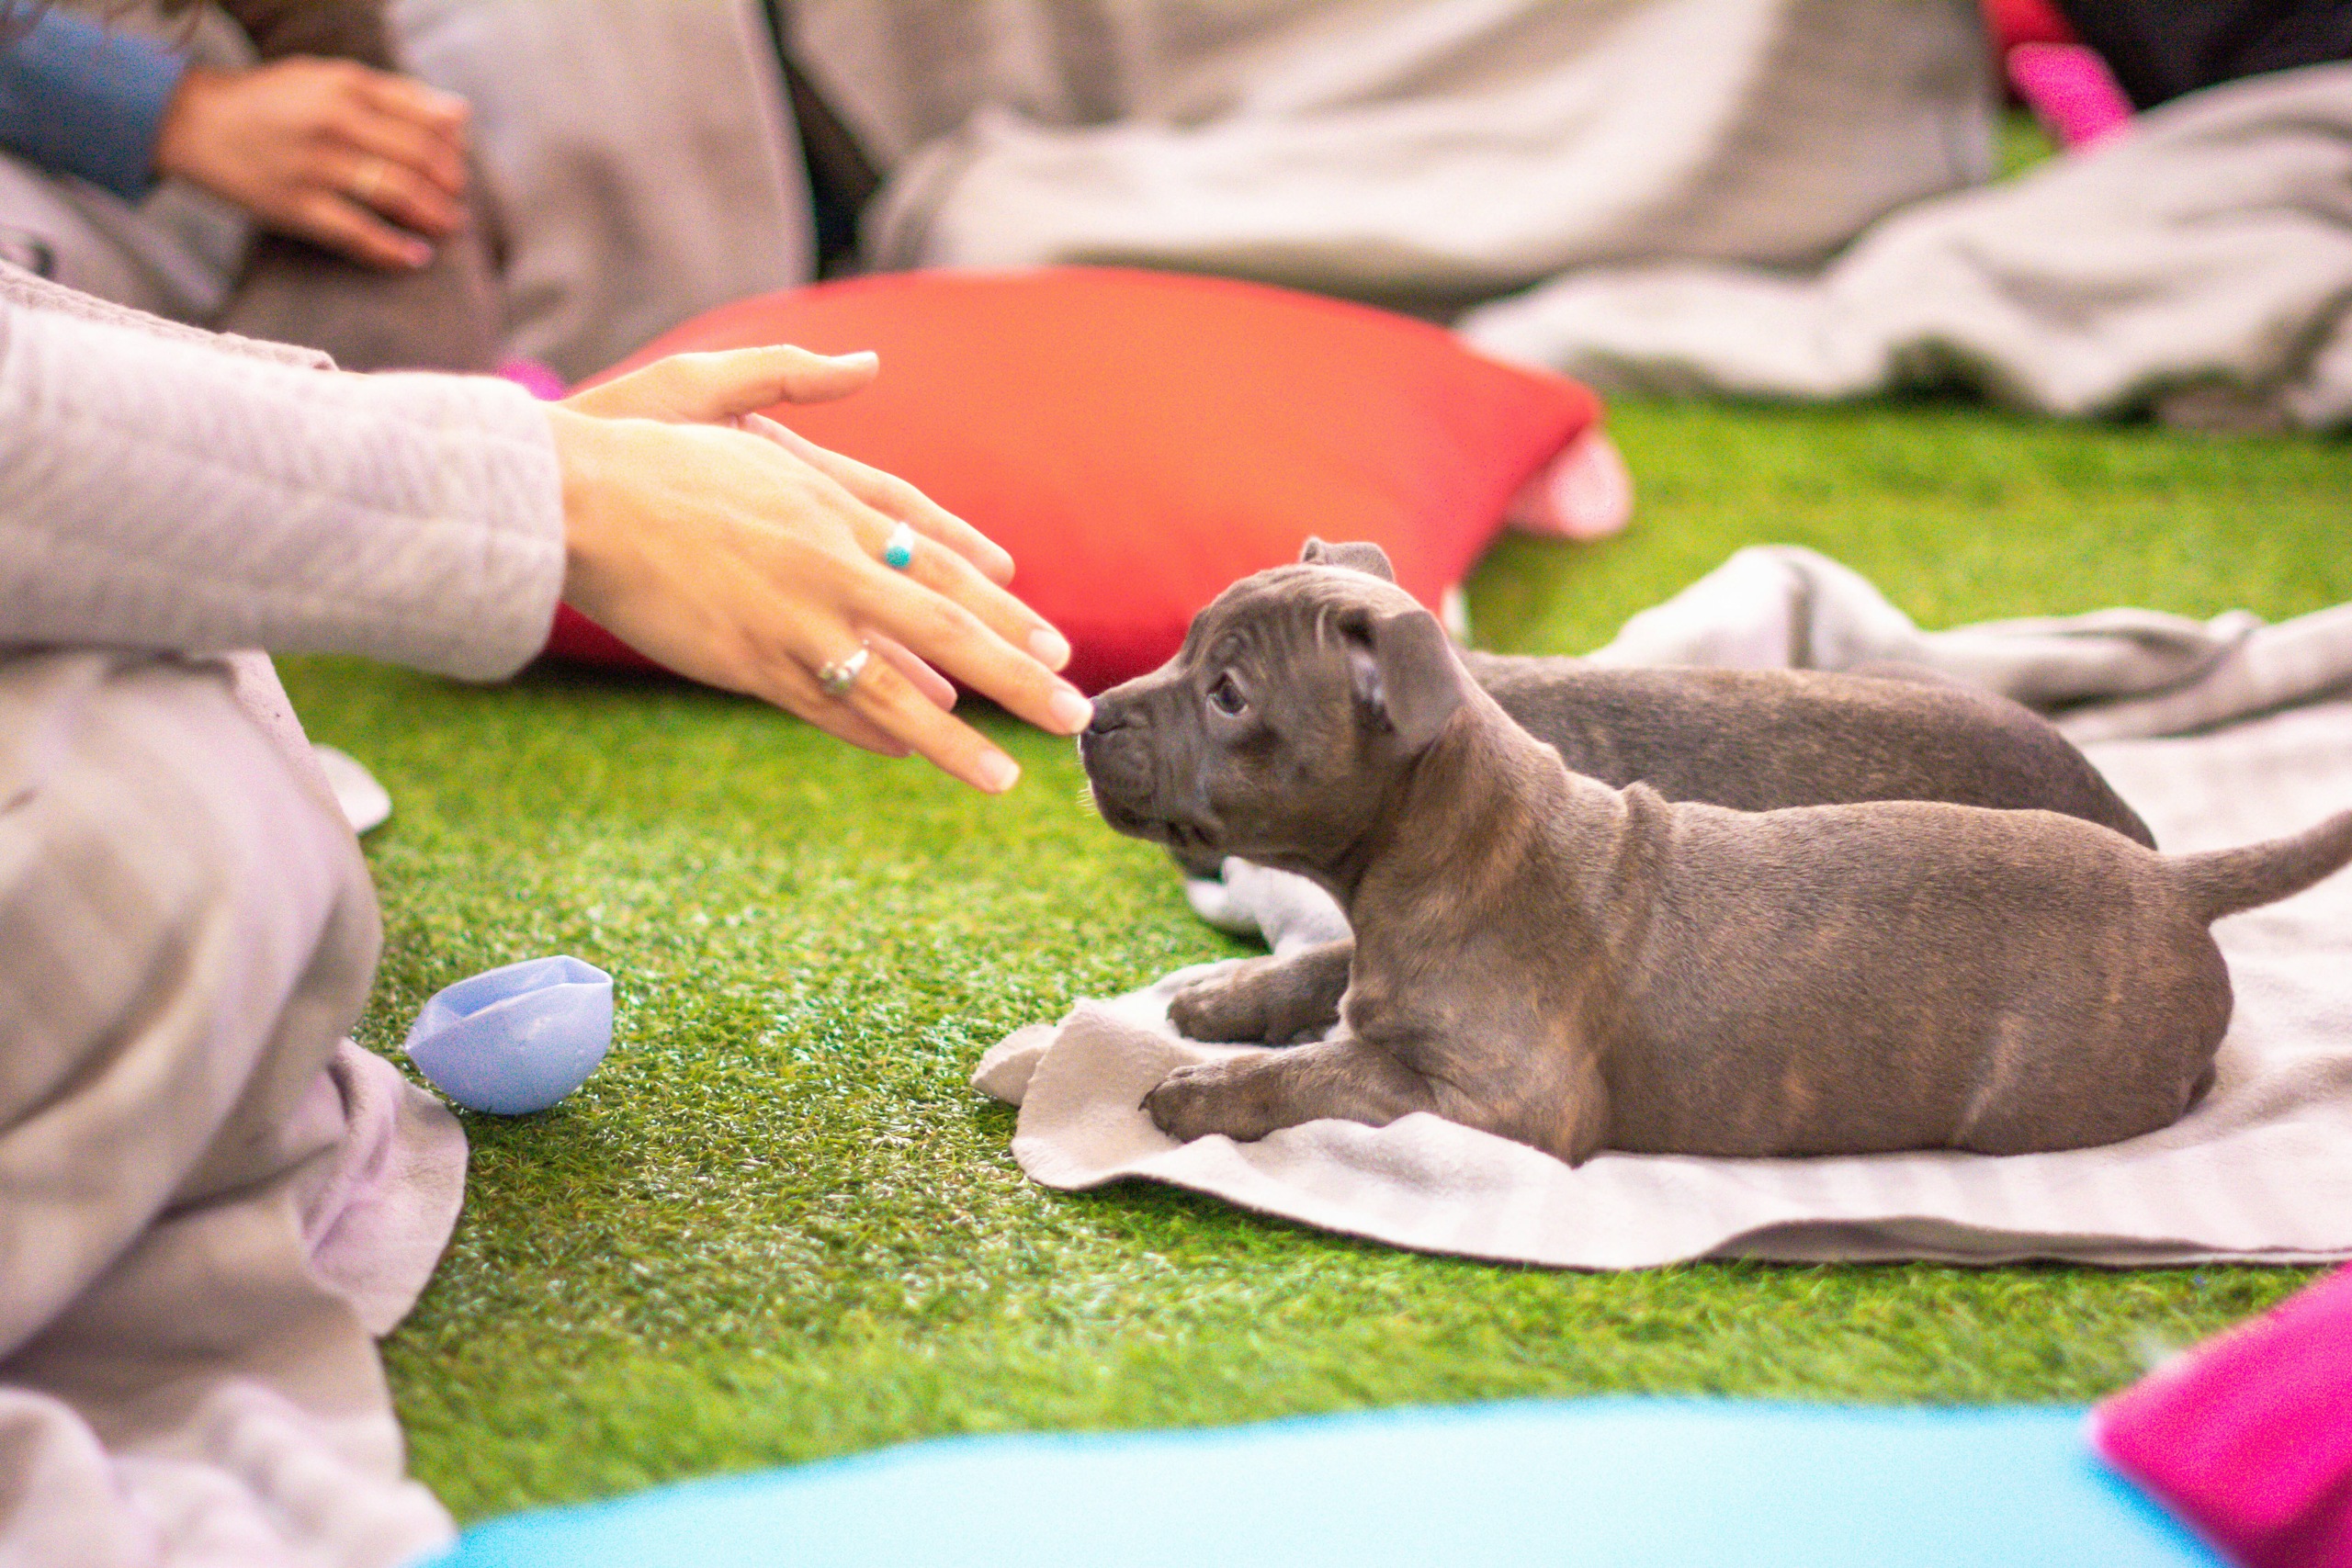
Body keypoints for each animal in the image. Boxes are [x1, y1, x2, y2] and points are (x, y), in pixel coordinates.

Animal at [1077, 557, 2352, 1161]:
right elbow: (1317, 982)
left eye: (1229, 694)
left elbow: (1326, 1071)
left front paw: (1205, 1088)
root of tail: (2167, 869)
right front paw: (1225, 998)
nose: (1086, 718)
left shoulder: (1500, 1099)